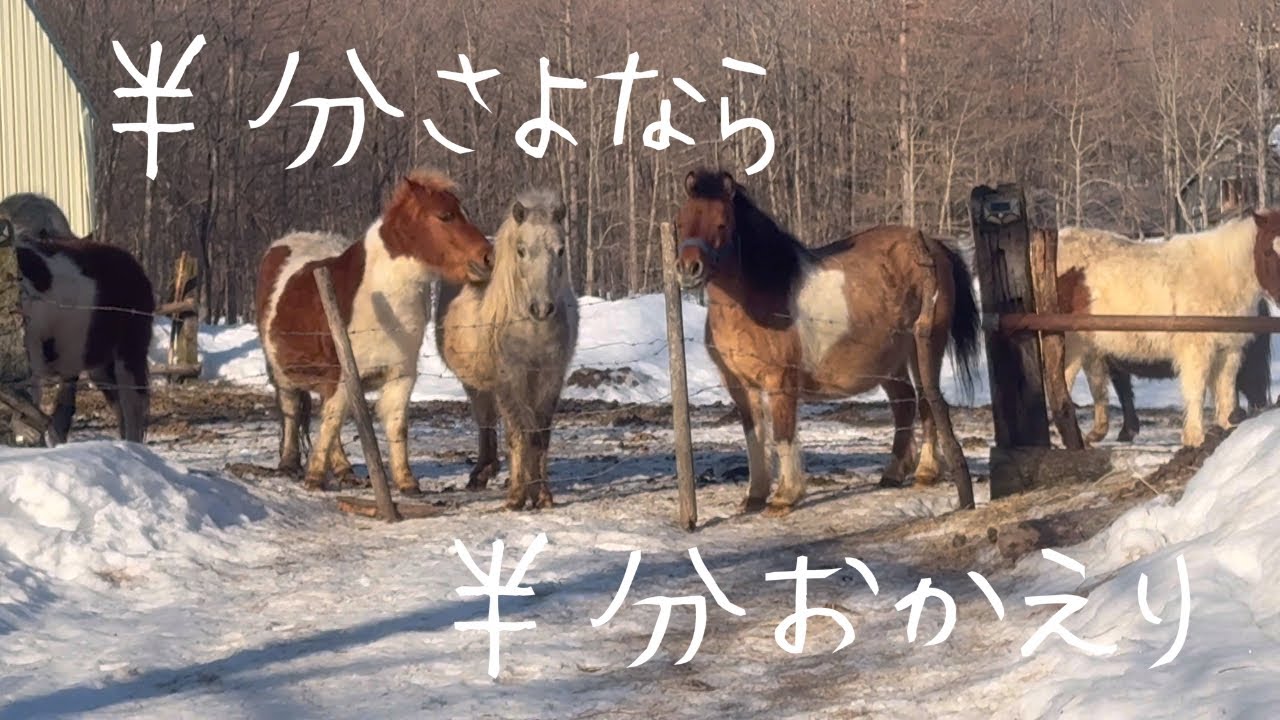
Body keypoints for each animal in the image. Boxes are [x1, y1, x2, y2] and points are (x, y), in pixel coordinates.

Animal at [255, 170, 494, 493]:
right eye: (445, 216)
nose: (488, 258)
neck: (379, 300)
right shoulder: (340, 377)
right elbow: (330, 422)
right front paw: (314, 478)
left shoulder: (399, 378)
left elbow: (395, 427)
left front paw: (406, 482)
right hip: (282, 372)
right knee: (292, 410)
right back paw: (289, 464)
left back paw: (343, 470)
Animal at [435, 189, 579, 510]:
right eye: (521, 250)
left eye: (561, 250)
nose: (542, 308)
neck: (531, 329)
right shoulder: (510, 379)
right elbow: (518, 435)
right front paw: (516, 496)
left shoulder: (550, 378)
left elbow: (539, 437)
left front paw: (541, 495)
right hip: (475, 382)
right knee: (486, 420)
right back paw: (482, 474)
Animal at [676, 169, 981, 515]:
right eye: (680, 222)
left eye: (721, 224)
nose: (688, 269)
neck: (755, 299)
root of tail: (934, 246)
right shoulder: (740, 384)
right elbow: (754, 436)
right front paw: (754, 496)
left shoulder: (780, 380)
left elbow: (782, 434)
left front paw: (785, 496)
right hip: (889, 360)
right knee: (904, 404)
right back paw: (892, 473)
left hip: (925, 347)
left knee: (927, 402)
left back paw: (926, 472)